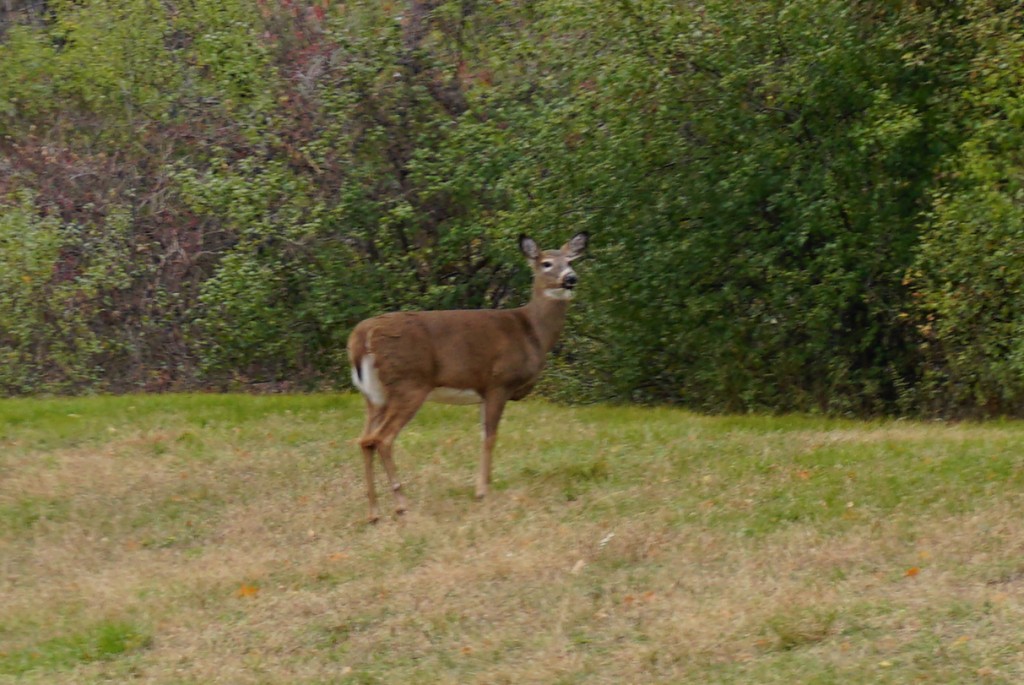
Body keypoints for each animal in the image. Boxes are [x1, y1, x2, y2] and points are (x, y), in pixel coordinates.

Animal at [347, 232, 589, 522]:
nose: (570, 278)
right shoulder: (499, 382)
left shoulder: (484, 391)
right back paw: (401, 504)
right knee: (382, 439)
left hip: (374, 395)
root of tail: (362, 336)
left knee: (365, 440)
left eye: (570, 261)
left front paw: (482, 486)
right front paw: (483, 492)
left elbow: (483, 434)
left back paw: (373, 512)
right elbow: (490, 437)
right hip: (409, 384)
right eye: (546, 263)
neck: (533, 333)